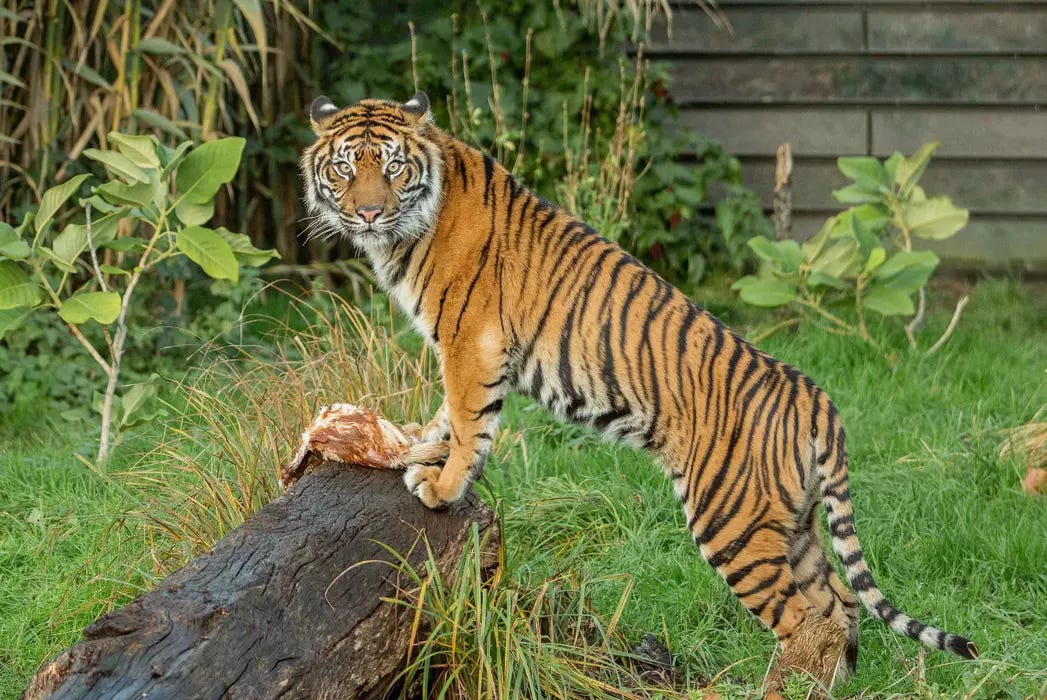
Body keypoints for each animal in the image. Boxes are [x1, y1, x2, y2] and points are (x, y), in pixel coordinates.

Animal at [300, 91, 978, 691]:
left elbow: (471, 419)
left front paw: (442, 487)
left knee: (806, 619)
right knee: (839, 604)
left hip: (732, 523)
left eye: (393, 167)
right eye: (344, 167)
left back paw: (779, 690)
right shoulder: (467, 349)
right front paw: (419, 441)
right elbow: (449, 413)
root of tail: (817, 399)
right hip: (795, 525)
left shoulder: (472, 342)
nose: (368, 212)